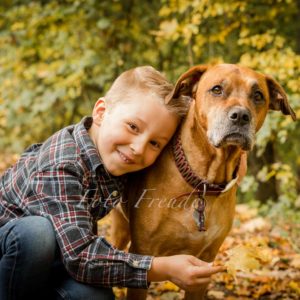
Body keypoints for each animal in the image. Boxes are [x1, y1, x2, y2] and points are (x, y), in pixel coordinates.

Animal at [109, 63, 296, 300]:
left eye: (258, 95)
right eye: (217, 89)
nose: (241, 116)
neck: (203, 183)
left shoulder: (204, 265)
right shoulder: (142, 252)